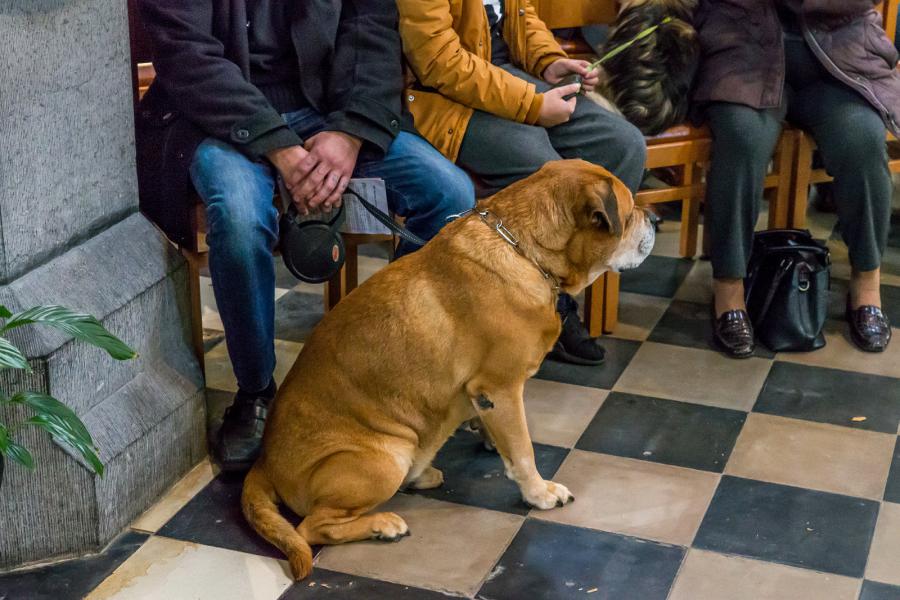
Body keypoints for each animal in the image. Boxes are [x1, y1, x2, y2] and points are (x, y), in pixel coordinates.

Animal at [243, 158, 656, 576]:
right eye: (628, 211)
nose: (655, 216)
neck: (523, 250)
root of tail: (264, 463)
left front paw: (488, 437)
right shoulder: (500, 388)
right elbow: (522, 449)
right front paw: (539, 492)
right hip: (386, 458)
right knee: (313, 527)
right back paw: (381, 524)